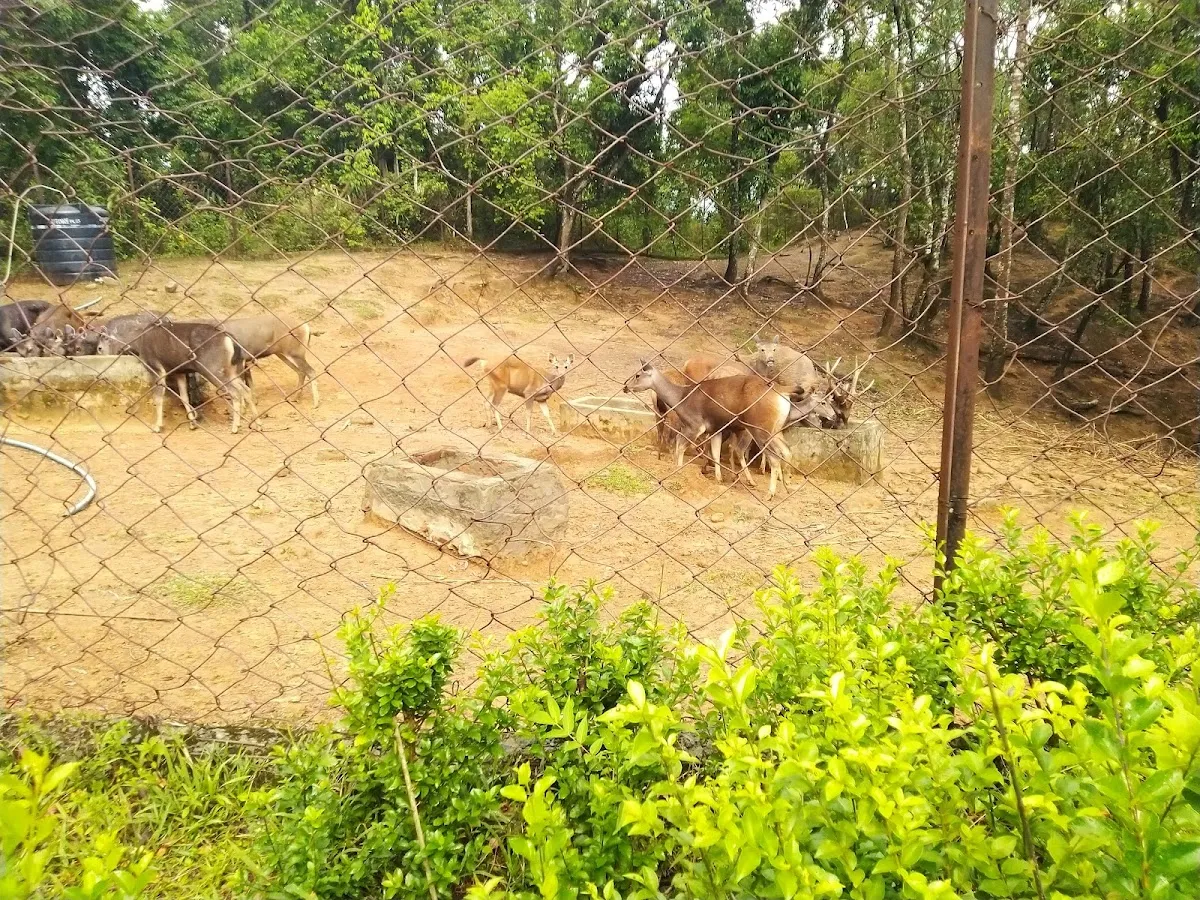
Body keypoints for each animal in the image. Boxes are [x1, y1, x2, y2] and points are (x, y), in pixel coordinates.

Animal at [97, 321, 251, 434]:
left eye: (99, 347)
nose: (99, 352)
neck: (138, 341)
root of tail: (231, 341)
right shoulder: (179, 371)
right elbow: (184, 397)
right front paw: (192, 423)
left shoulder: (156, 367)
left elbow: (158, 397)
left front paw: (157, 426)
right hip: (232, 369)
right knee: (245, 389)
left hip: (213, 368)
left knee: (235, 392)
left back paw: (235, 427)